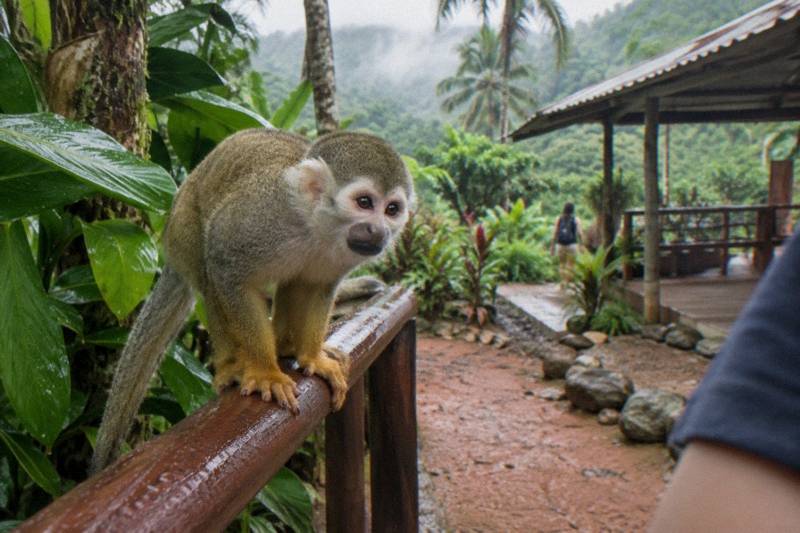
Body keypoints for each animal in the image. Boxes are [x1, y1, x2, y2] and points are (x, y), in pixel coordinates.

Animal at [90, 129, 414, 474]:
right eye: (364, 202)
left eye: (392, 209)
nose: (379, 231)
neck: (315, 226)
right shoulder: (263, 220)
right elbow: (226, 265)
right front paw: (264, 372)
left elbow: (317, 288)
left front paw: (312, 357)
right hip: (182, 230)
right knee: (208, 271)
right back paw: (232, 365)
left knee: (292, 282)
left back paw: (286, 346)